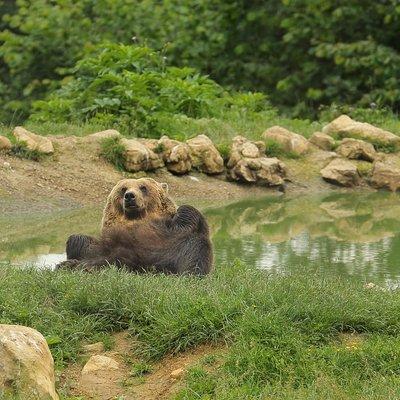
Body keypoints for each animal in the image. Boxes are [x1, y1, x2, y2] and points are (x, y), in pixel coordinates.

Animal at [58, 178, 214, 276]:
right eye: (123, 189)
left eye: (143, 187)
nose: (130, 196)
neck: (136, 220)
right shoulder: (109, 245)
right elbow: (80, 242)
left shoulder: (167, 235)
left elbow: (187, 217)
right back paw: (71, 265)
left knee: (195, 247)